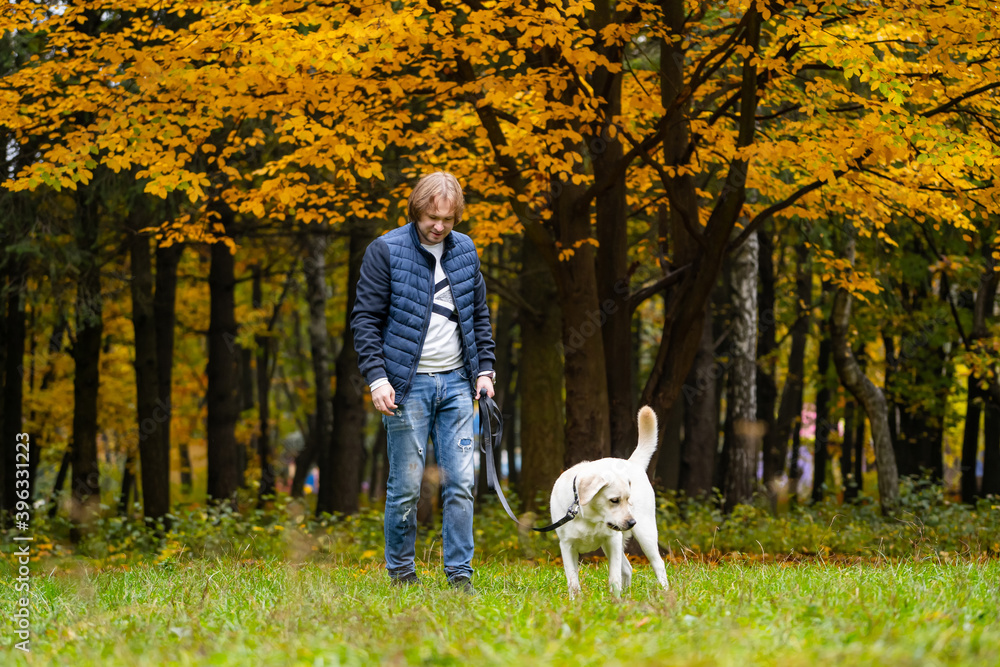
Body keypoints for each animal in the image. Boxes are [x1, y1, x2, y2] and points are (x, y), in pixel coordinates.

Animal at [552, 408, 668, 600]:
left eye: (628, 500)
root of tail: (631, 462)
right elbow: (572, 580)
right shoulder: (567, 546)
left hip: (646, 535)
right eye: (614, 500)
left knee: (658, 565)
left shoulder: (612, 540)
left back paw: (665, 593)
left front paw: (615, 599)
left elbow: (614, 577)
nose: (631, 522)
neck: (588, 517)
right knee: (628, 569)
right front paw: (576, 601)